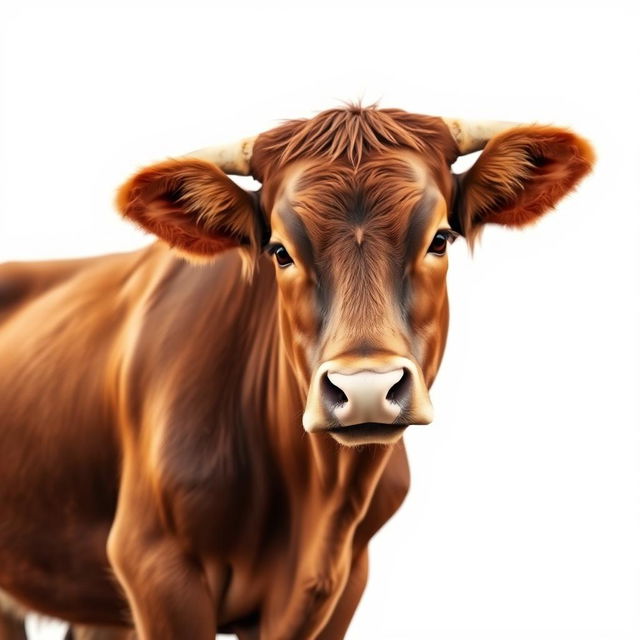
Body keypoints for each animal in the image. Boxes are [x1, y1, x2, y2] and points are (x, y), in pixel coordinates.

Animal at [0, 106, 596, 640]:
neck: (318, 503)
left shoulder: (345, 583)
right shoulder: (153, 566)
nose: (365, 389)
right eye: (279, 251)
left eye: (440, 239)